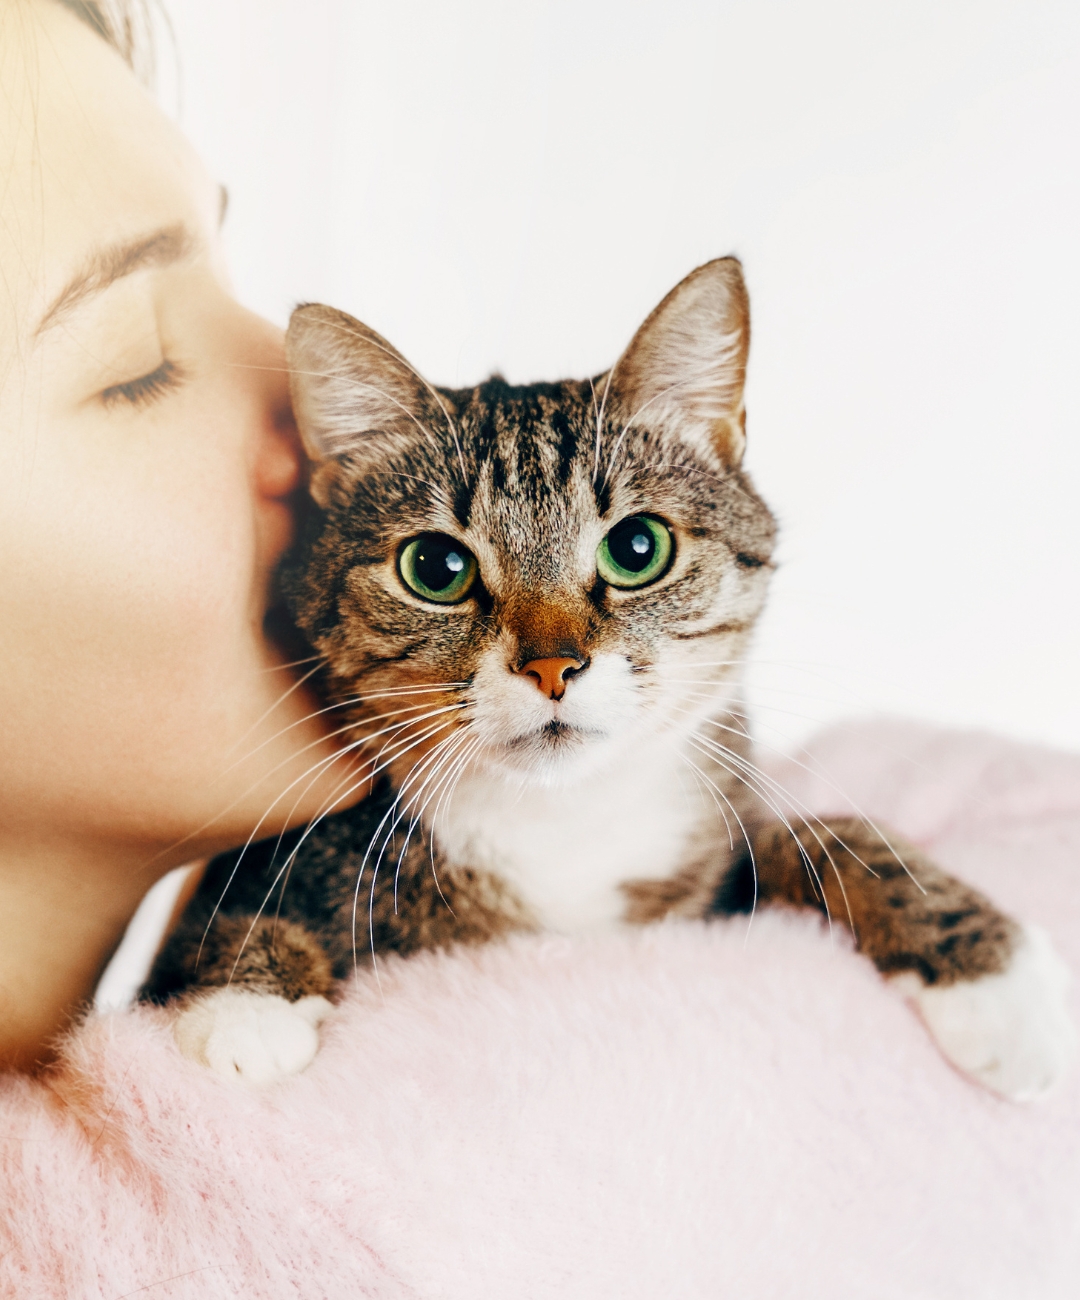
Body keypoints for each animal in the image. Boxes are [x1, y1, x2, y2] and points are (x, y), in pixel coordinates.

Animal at [148, 258, 1076, 1102]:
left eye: (637, 548)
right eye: (436, 568)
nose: (551, 665)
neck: (564, 822)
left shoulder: (718, 863)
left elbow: (828, 834)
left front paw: (999, 982)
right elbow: (218, 917)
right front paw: (243, 1007)